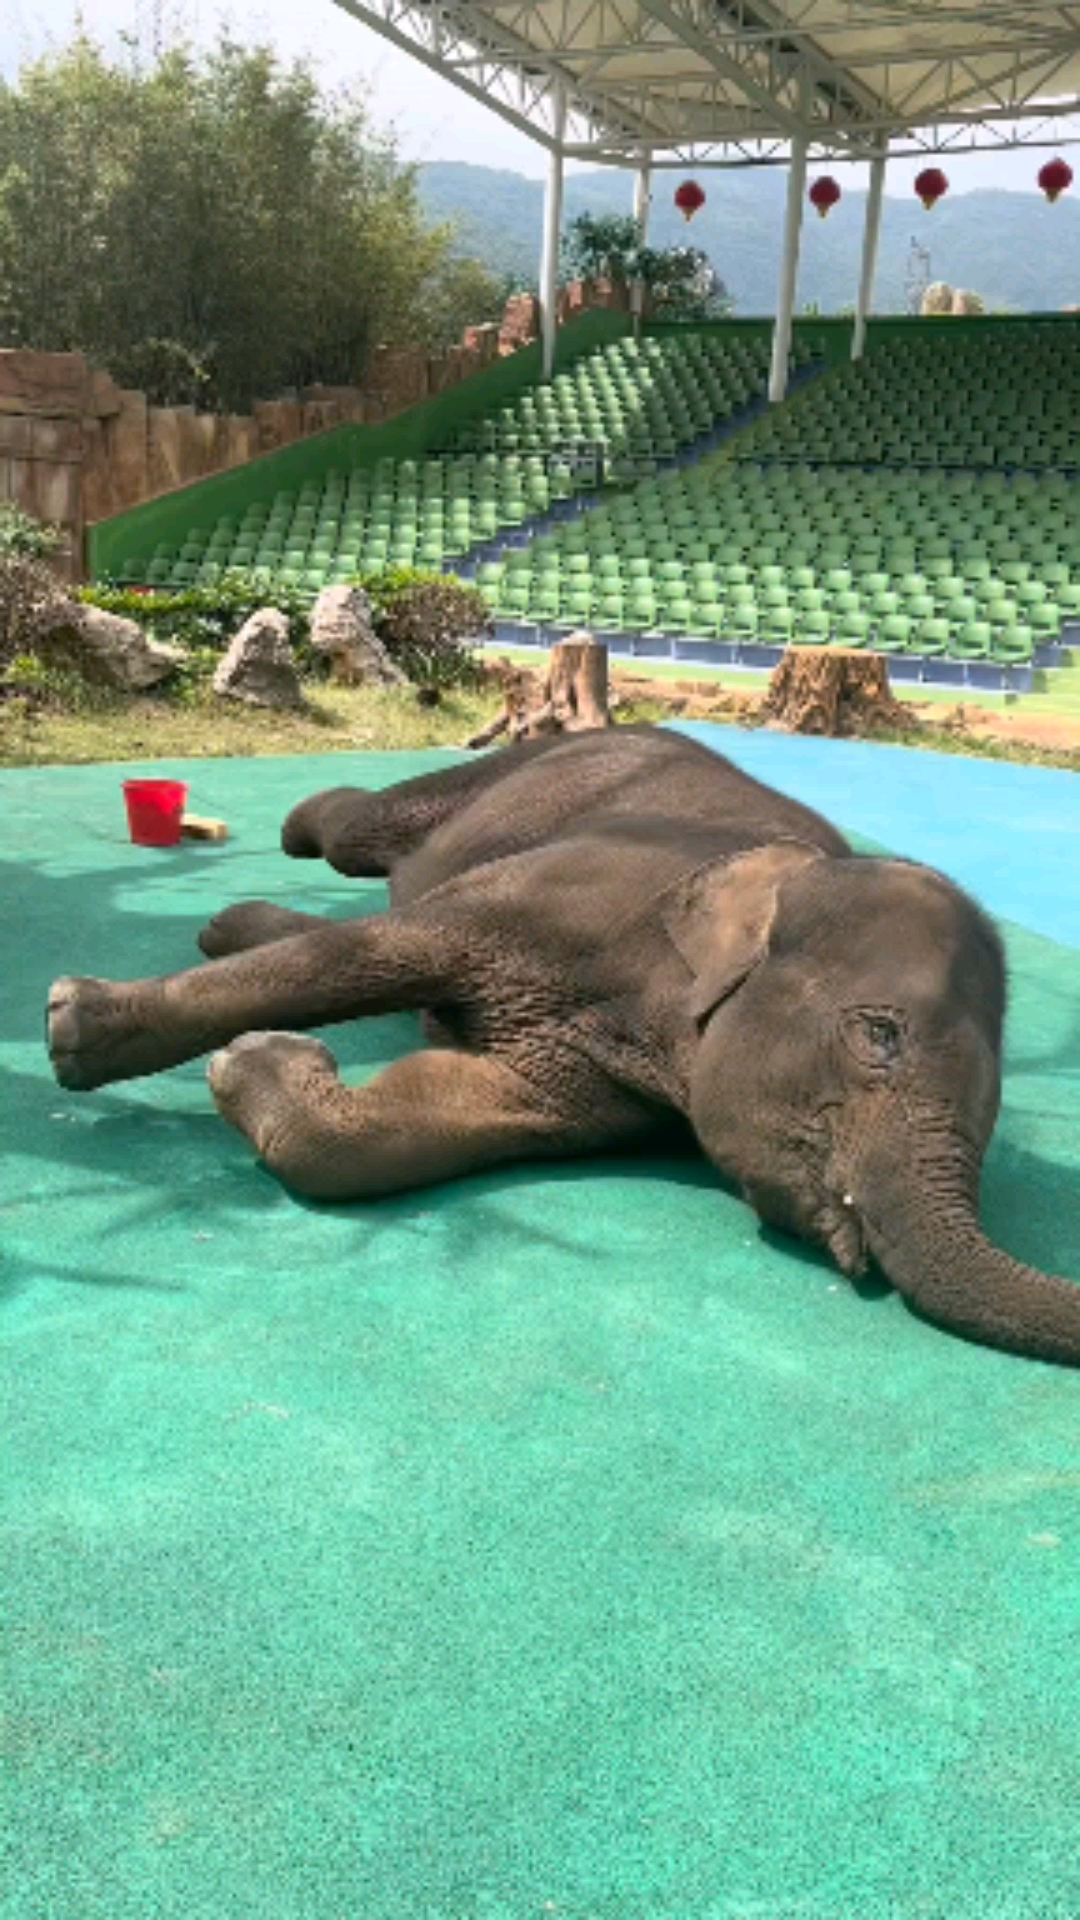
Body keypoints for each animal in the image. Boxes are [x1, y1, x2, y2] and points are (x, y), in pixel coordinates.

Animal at [47, 724, 1079, 1364]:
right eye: (879, 1037)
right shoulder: (572, 889)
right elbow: (388, 950)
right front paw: (69, 1024)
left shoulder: (602, 1081)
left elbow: (459, 1104)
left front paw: (257, 1062)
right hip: (511, 774)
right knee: (355, 839)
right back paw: (286, 838)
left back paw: (228, 924)